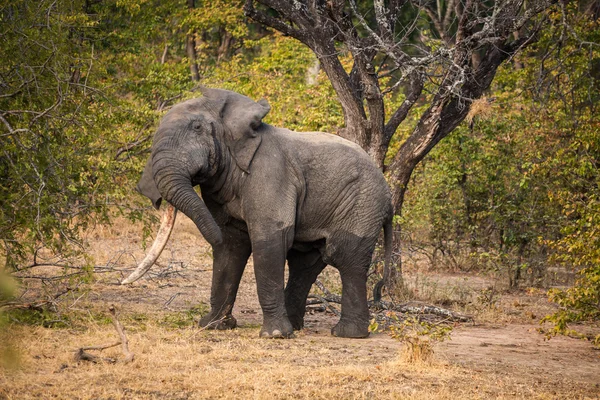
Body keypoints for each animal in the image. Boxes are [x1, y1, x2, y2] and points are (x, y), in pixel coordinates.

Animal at [136, 87, 394, 338]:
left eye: (197, 128)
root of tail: (388, 194)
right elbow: (231, 246)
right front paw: (213, 326)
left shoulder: (270, 173)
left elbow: (269, 239)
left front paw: (274, 335)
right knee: (305, 263)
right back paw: (296, 327)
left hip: (362, 204)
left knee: (345, 257)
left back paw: (346, 334)